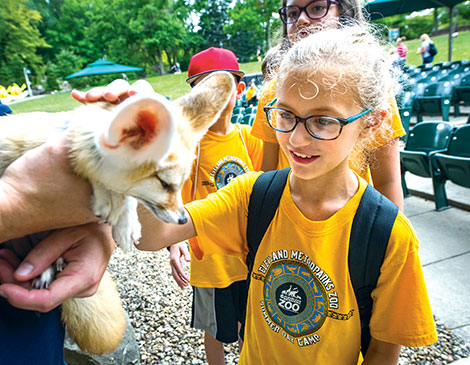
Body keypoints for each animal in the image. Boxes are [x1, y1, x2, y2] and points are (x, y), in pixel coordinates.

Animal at [0, 70, 235, 352]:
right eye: (164, 184)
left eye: (181, 184)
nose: (181, 220)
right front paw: (114, 208)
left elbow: (126, 196)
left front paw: (125, 219)